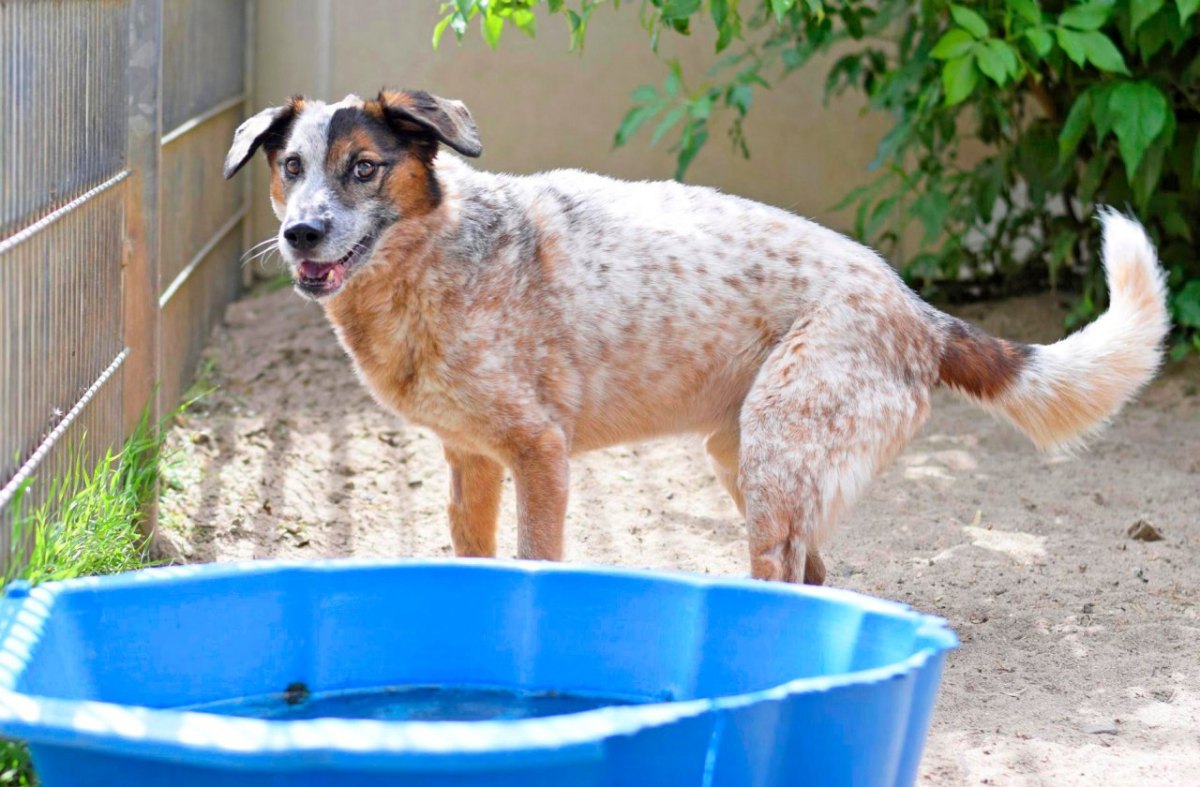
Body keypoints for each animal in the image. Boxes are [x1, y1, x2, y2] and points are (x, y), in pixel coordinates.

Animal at [220, 90, 1166, 583]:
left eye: (364, 168)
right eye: (290, 167)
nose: (301, 234)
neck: (437, 259)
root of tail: (914, 308)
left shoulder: (539, 453)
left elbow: (536, 562)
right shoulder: (471, 460)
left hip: (776, 454)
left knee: (789, 579)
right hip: (745, 460)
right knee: (817, 575)